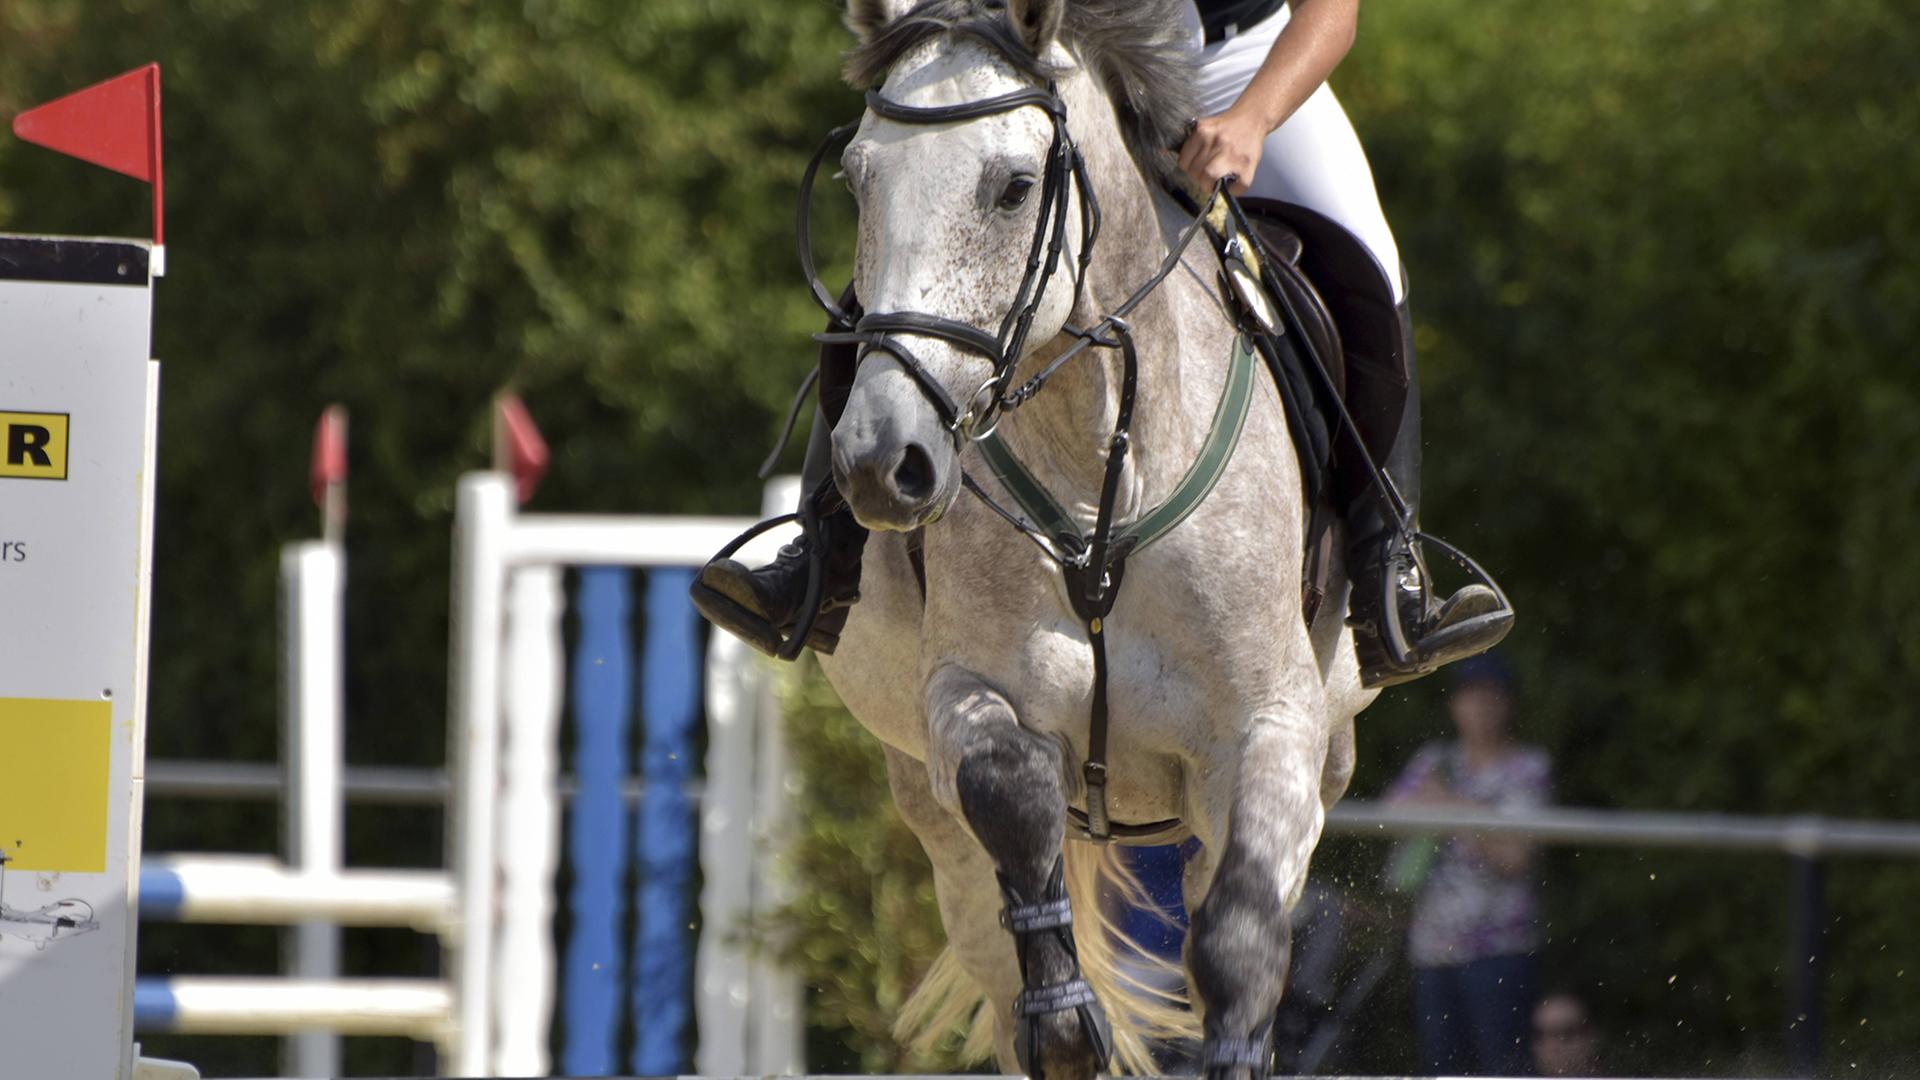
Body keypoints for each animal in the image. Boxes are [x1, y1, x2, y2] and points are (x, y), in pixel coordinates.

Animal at [808, 1, 1379, 1076]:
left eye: (1013, 188)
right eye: (857, 182)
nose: (880, 462)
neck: (1097, 449)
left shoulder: (1271, 728)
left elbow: (1240, 943)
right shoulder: (964, 694)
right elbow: (1010, 786)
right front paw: (1068, 1016)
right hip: (926, 809)